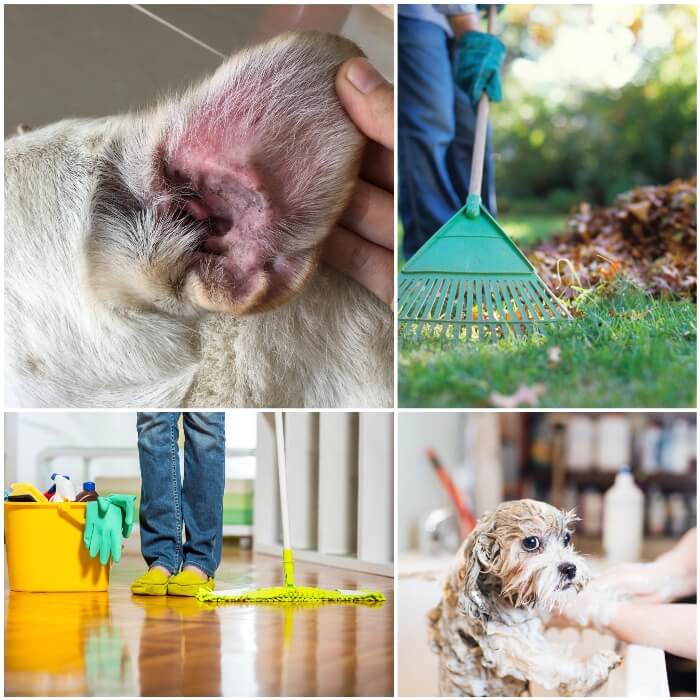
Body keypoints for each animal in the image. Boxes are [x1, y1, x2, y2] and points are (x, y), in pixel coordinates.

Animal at [430, 500, 620, 696]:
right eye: (531, 542)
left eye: (567, 538)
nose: (570, 568)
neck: (503, 593)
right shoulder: (504, 642)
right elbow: (552, 663)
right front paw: (595, 665)